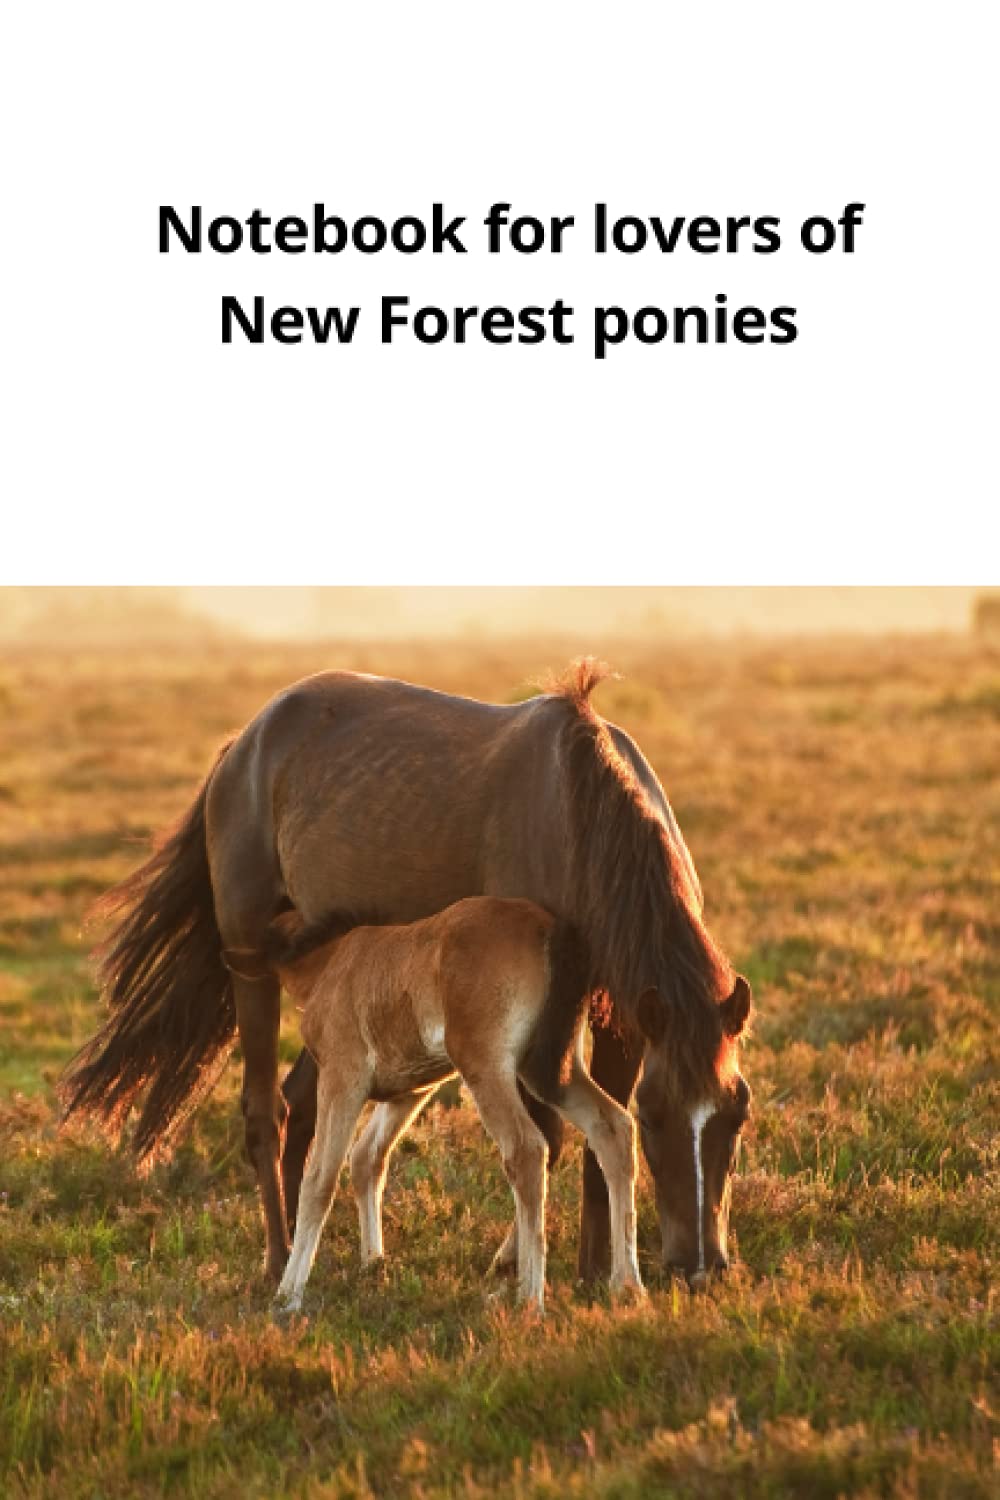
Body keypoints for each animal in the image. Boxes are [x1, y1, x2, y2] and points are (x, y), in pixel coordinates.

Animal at [268, 897, 644, 1314]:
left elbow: (319, 1178)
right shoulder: (409, 1090)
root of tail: (550, 929)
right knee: (613, 1126)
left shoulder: (342, 1077)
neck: (328, 961)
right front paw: (373, 1265)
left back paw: (530, 1300)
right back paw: (627, 1286)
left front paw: (288, 1296)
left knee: (527, 1149)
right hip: (551, 1069)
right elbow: (367, 1158)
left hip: (486, 1065)